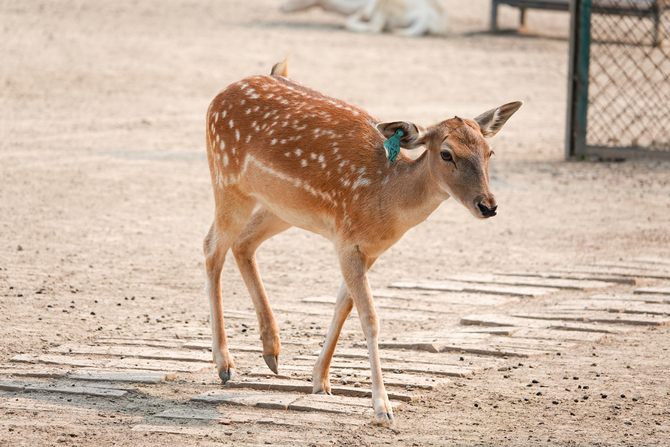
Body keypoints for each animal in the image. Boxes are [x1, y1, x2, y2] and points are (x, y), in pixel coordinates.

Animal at [205, 58, 524, 424]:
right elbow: (369, 317)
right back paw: (225, 364)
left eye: (489, 151)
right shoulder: (346, 240)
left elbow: (343, 305)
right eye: (446, 154)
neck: (388, 199)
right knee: (212, 248)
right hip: (227, 181)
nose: (488, 205)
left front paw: (320, 380)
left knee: (243, 243)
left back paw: (271, 352)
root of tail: (223, 93)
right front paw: (382, 406)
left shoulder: (370, 249)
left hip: (280, 207)